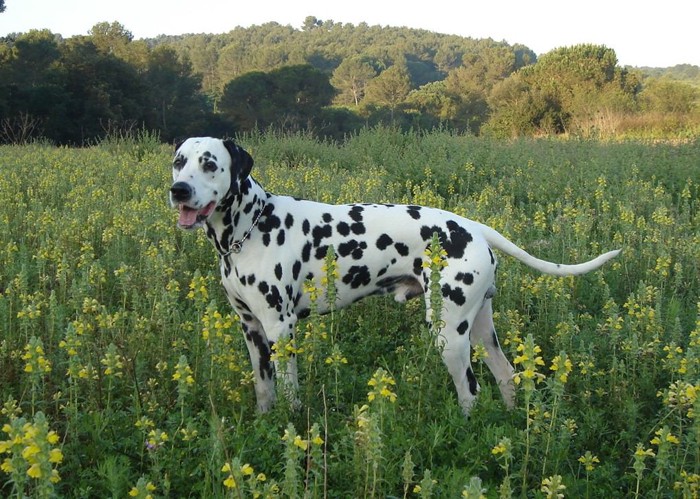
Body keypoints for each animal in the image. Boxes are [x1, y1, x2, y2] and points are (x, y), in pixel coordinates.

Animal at [172, 138, 620, 418]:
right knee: (506, 376)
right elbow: (264, 388)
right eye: (179, 161)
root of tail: (473, 226)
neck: (251, 226)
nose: (178, 190)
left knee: (470, 391)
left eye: (210, 164)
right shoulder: (251, 329)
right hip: (479, 330)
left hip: (448, 334)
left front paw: (288, 427)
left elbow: (290, 392)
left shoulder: (280, 329)